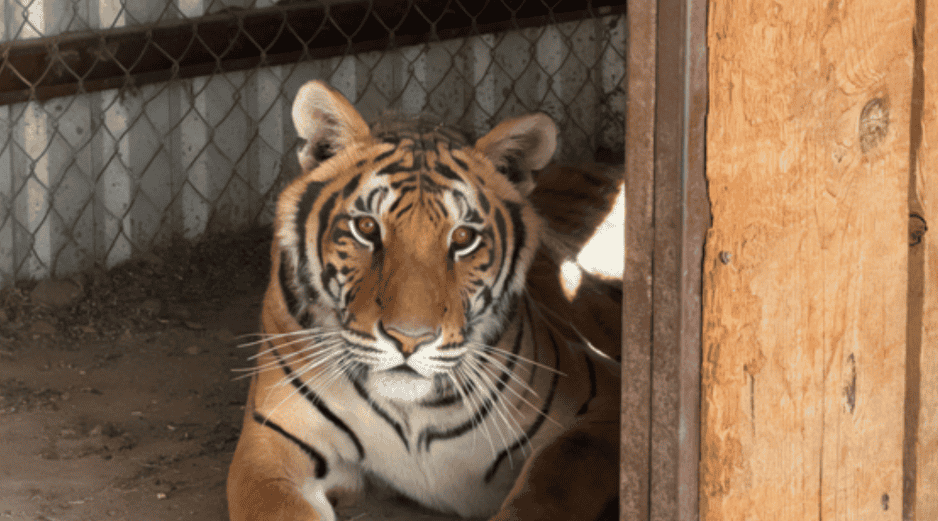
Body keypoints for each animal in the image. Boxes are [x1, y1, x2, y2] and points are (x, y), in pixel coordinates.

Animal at [227, 80, 621, 521]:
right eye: (367, 227)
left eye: (463, 237)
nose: (409, 339)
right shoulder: (272, 443)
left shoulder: (603, 406)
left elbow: (547, 488)